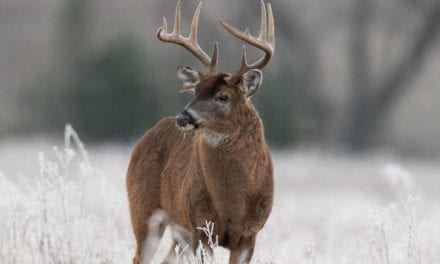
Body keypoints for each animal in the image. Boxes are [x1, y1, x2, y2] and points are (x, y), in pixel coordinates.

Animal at [125, 1, 274, 262]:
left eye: (223, 96)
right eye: (195, 91)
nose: (183, 117)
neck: (232, 204)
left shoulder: (249, 234)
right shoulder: (201, 227)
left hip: (179, 231)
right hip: (143, 209)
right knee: (139, 257)